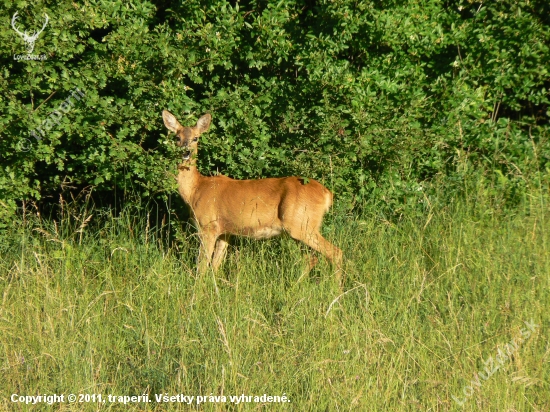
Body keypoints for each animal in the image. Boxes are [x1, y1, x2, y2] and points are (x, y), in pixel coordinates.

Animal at [164, 109, 342, 284]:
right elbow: (215, 266)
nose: (186, 152)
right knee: (311, 258)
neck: (196, 190)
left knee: (334, 252)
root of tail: (327, 194)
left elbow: (202, 266)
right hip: (298, 229)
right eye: (177, 137)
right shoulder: (225, 231)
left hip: (302, 224)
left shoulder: (208, 226)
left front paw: (198, 290)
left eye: (196, 138)